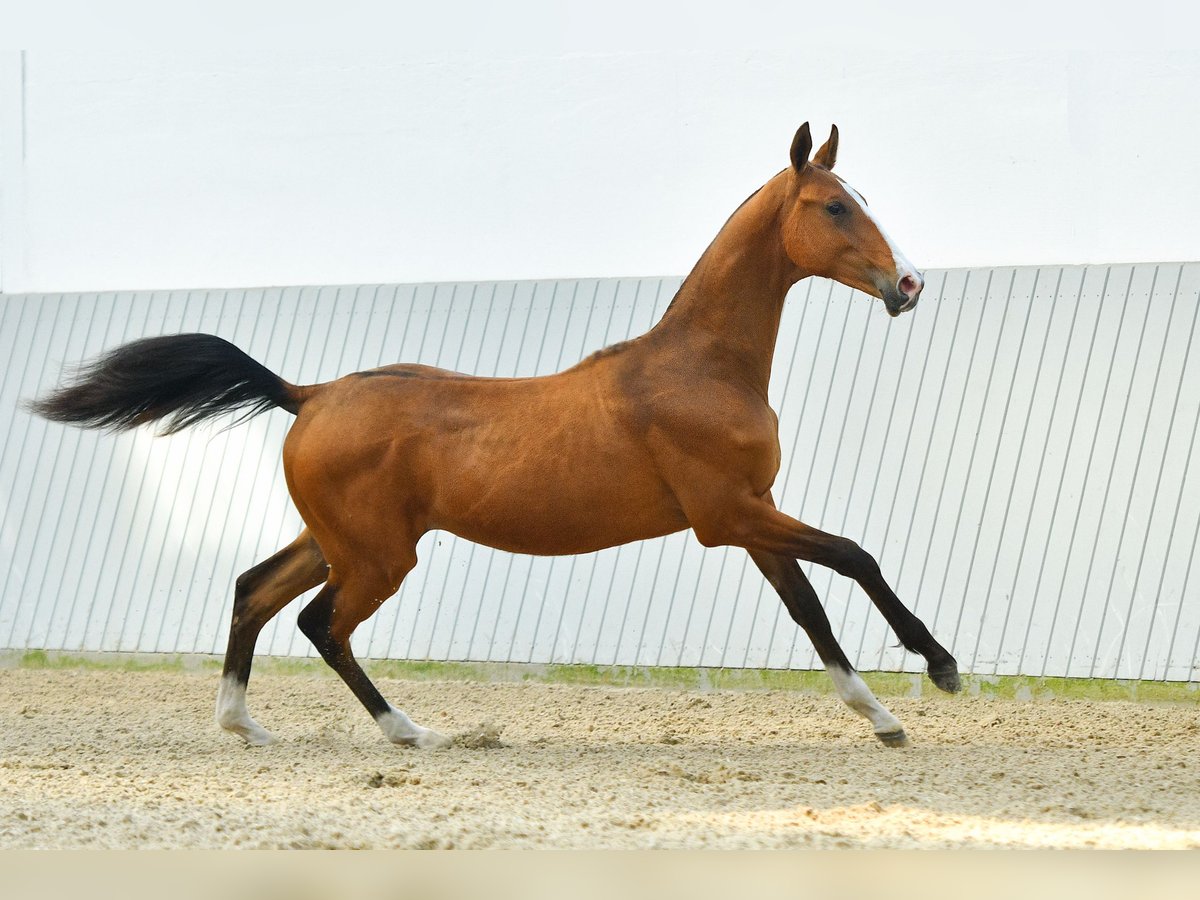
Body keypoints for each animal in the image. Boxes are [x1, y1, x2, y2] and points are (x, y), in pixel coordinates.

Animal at [32, 123, 960, 748]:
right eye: (834, 206)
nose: (909, 284)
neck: (698, 369)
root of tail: (310, 394)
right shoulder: (729, 516)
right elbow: (855, 557)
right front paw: (941, 667)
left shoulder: (752, 516)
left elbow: (810, 608)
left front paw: (880, 716)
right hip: (377, 557)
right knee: (320, 624)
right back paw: (411, 732)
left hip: (338, 539)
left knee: (253, 591)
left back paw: (244, 725)